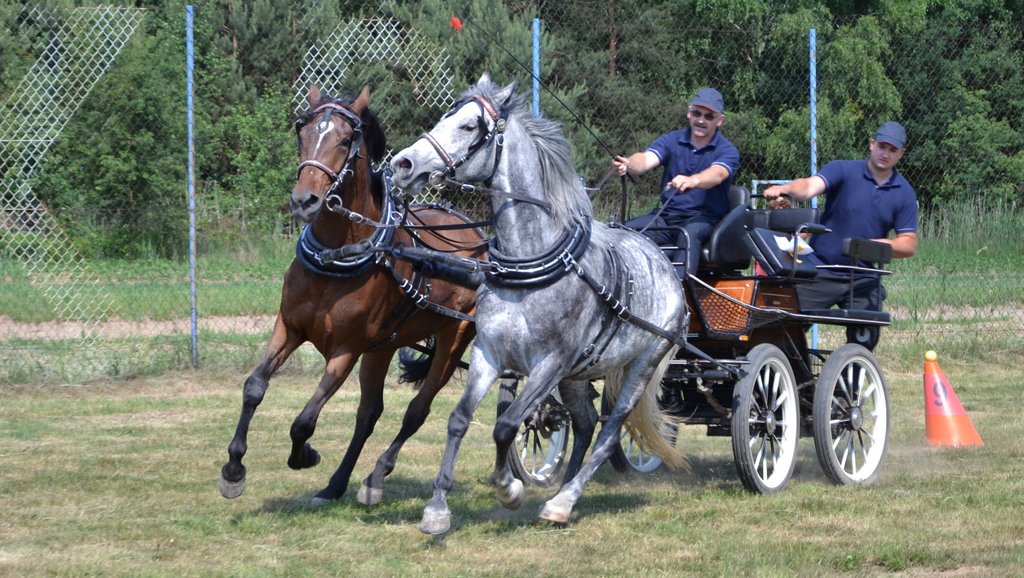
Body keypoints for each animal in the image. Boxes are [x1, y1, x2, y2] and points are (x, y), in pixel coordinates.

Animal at [218, 84, 486, 506]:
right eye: (302, 132)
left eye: (345, 141)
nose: (304, 201)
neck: (337, 255)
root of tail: (477, 235)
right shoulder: (289, 327)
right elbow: (254, 387)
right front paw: (233, 468)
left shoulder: (346, 349)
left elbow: (305, 420)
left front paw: (305, 455)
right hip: (383, 347)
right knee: (369, 413)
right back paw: (337, 483)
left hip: (453, 337)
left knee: (416, 410)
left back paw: (375, 477)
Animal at [390, 73, 687, 534]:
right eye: (445, 117)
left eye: (470, 126)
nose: (403, 164)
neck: (529, 262)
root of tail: (664, 261)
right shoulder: (490, 353)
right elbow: (459, 419)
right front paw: (437, 509)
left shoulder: (550, 363)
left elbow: (506, 425)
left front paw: (508, 488)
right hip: (580, 373)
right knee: (585, 424)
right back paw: (560, 492)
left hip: (643, 363)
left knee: (609, 432)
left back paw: (565, 499)